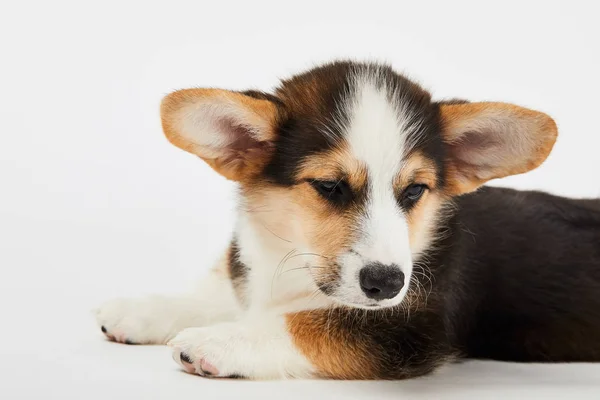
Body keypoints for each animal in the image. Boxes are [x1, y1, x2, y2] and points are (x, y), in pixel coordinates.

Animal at [97, 61, 600, 380]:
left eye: (414, 191)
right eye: (330, 186)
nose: (387, 284)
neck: (292, 257)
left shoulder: (409, 330)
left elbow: (308, 326)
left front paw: (216, 342)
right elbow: (223, 297)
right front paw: (140, 310)